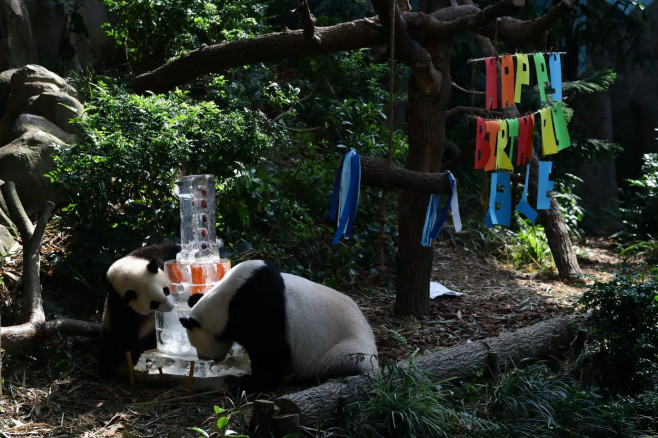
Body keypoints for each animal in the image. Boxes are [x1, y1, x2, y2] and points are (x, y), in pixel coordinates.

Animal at [97, 241, 179, 378]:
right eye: (154, 304)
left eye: (166, 290)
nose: (171, 307)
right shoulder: (120, 304)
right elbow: (126, 330)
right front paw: (136, 355)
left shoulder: (155, 254)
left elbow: (174, 249)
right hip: (110, 331)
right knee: (109, 350)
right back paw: (107, 369)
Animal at [179, 260, 376, 390]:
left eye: (196, 344)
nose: (203, 357)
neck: (224, 301)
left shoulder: (259, 309)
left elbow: (270, 351)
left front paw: (247, 382)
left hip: (347, 349)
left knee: (342, 363)